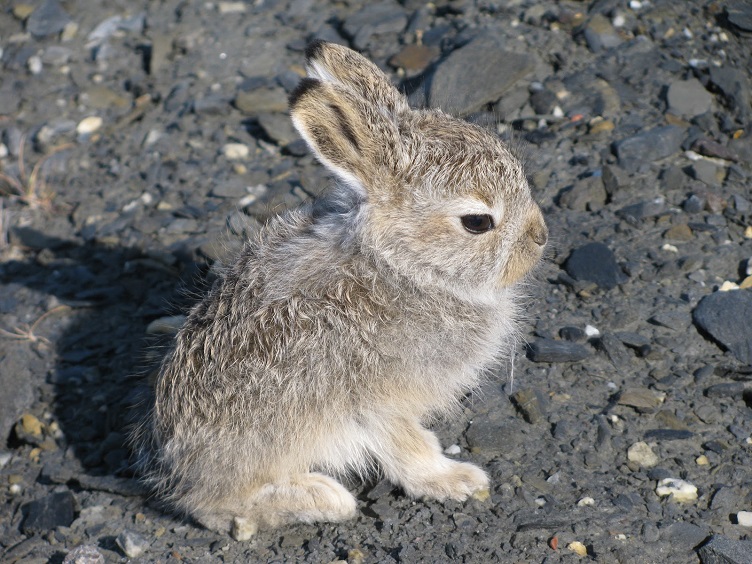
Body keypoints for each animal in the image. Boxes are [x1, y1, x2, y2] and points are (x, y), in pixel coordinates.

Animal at [130, 40, 547, 540]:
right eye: (478, 223)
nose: (541, 237)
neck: (403, 264)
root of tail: (175, 468)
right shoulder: (380, 399)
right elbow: (406, 448)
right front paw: (455, 480)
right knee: (215, 506)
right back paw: (322, 498)